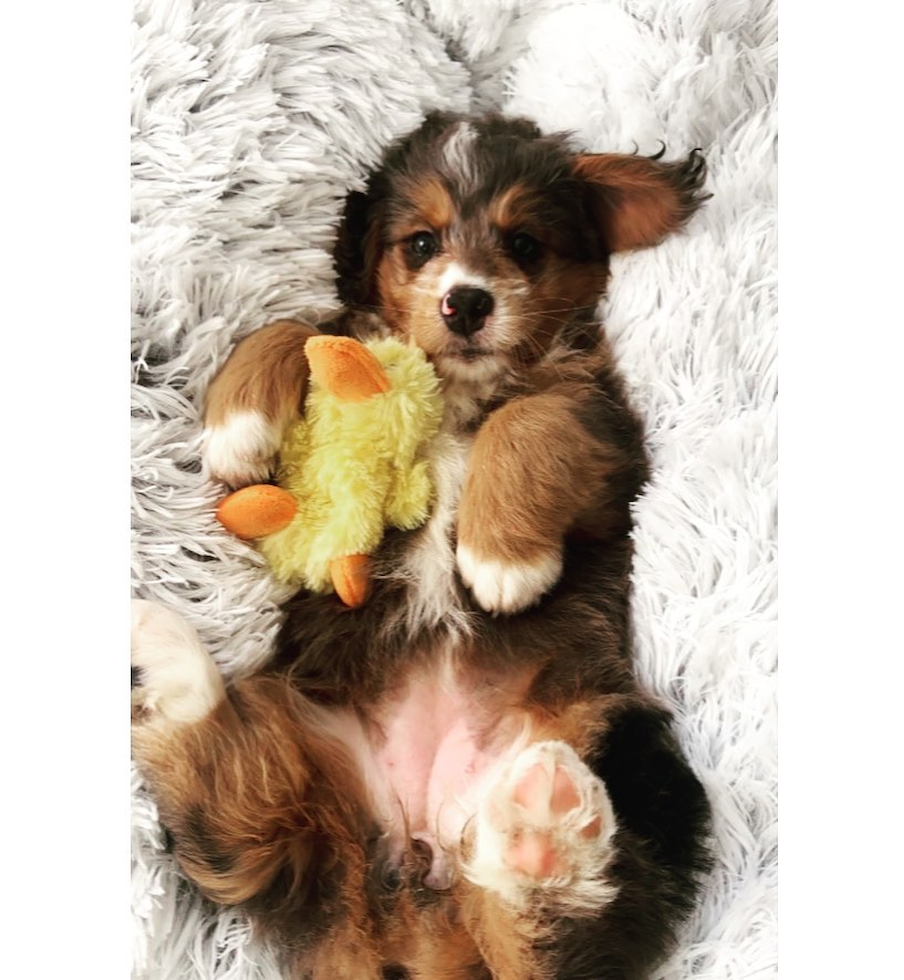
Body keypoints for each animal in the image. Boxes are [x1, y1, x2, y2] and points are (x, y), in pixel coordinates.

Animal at [132, 113, 712, 980]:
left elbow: (534, 417)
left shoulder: (603, 426)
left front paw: (500, 560)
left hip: (625, 742)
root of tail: (419, 907)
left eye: (524, 244)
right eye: (420, 244)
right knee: (231, 803)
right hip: (306, 744)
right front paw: (237, 427)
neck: (462, 390)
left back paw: (542, 834)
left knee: (561, 938)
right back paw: (164, 660)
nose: (466, 301)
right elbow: (297, 328)